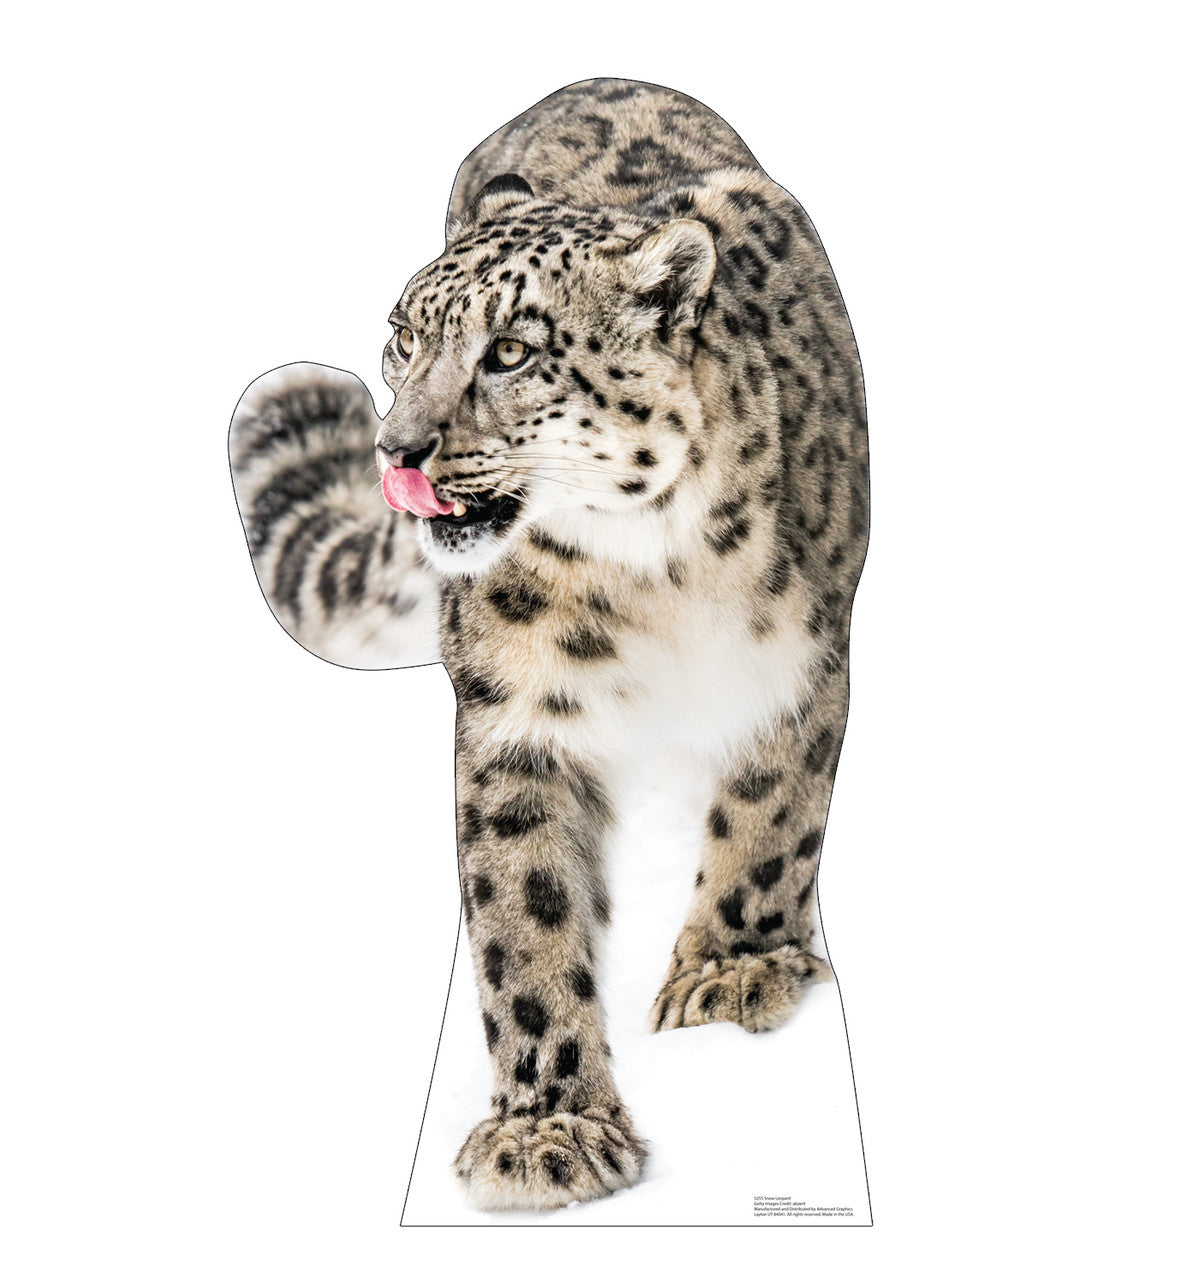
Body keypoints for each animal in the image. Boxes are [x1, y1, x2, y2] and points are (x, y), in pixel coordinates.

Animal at [229, 77, 869, 1212]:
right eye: (402, 337)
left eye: (512, 350)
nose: (396, 448)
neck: (650, 570)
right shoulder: (514, 712)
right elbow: (523, 913)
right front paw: (547, 1129)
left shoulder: (798, 662)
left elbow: (770, 821)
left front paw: (730, 978)